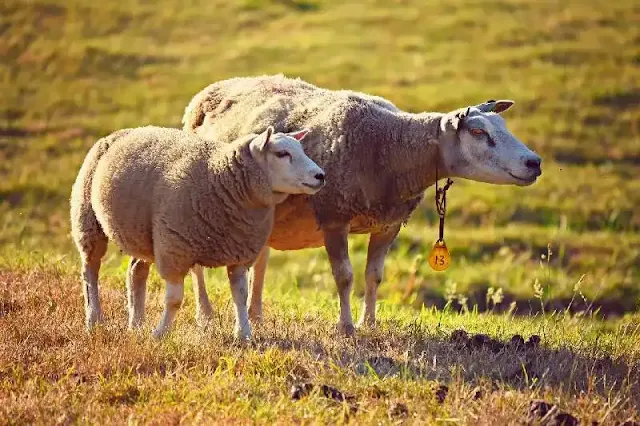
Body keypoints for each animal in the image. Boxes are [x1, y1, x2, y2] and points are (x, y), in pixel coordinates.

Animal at [70, 124, 328, 340]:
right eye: (282, 154)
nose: (321, 176)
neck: (220, 177)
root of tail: (122, 132)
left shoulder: (240, 252)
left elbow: (240, 296)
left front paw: (244, 335)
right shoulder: (175, 249)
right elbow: (175, 300)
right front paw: (160, 334)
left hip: (143, 234)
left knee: (135, 272)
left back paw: (136, 324)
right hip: (87, 220)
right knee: (90, 271)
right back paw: (94, 320)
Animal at [182, 74, 544, 336]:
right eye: (478, 132)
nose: (534, 162)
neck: (389, 147)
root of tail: (211, 89)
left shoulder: (389, 223)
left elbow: (374, 276)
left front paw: (369, 323)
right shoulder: (333, 215)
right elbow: (344, 277)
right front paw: (346, 327)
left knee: (261, 260)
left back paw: (255, 314)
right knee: (198, 264)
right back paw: (206, 314)